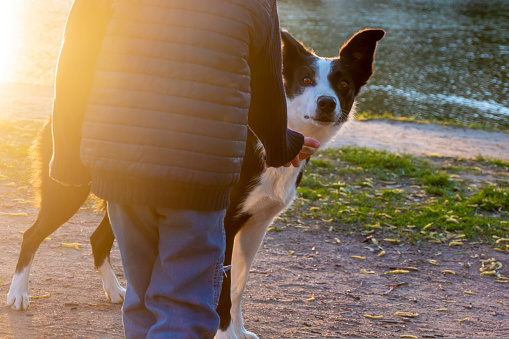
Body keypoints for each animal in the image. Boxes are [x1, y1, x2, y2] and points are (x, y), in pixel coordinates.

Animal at [6, 27, 380, 338]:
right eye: (305, 79)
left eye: (343, 85)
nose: (327, 103)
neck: (268, 139)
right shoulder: (225, 226)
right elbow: (223, 291)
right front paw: (227, 335)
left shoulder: (256, 226)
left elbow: (238, 286)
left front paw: (240, 332)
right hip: (67, 191)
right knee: (31, 235)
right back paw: (18, 293)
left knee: (98, 239)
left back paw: (114, 292)